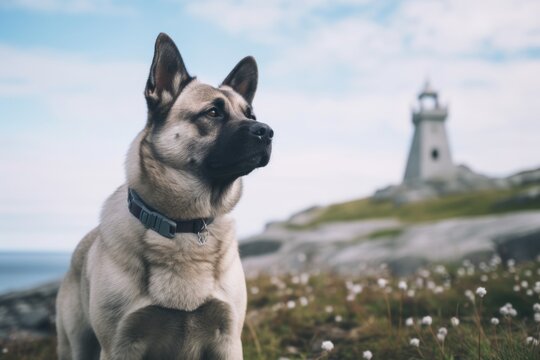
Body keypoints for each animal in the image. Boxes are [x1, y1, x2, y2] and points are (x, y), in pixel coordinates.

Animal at [57, 32, 272, 358]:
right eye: (213, 112)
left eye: (251, 114)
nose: (268, 132)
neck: (183, 224)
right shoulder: (120, 345)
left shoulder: (227, 340)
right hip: (77, 344)